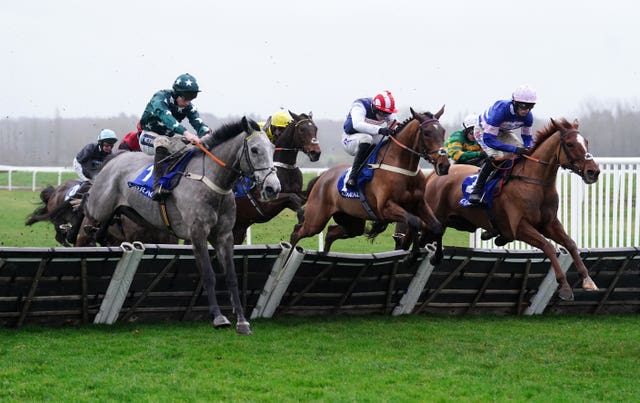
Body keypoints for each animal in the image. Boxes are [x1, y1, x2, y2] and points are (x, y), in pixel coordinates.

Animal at [80, 117, 280, 334]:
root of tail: (114, 159)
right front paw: (218, 317)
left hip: (129, 212)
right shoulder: (197, 233)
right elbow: (208, 275)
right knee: (87, 209)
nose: (273, 188)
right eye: (254, 150)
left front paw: (242, 322)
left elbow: (232, 277)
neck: (214, 182)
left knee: (104, 229)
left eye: (272, 148)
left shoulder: (224, 236)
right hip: (98, 208)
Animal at [232, 111, 322, 243]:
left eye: (315, 128)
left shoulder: (300, 194)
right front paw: (300, 223)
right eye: (301, 129)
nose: (316, 153)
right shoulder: (265, 203)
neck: (284, 166)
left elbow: (304, 193)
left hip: (238, 229)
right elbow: (293, 198)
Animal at [292, 107, 450, 252]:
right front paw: (409, 253)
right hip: (316, 219)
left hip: (352, 222)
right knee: (297, 232)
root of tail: (323, 177)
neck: (402, 167)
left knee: (331, 232)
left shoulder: (419, 204)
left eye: (443, 131)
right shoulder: (385, 208)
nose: (444, 165)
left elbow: (436, 227)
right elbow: (414, 222)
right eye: (427, 133)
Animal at [420, 118, 600, 302]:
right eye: (570, 144)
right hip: (433, 220)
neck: (535, 182)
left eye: (586, 142)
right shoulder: (519, 227)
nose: (593, 171)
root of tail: (434, 176)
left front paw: (588, 280)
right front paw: (564, 287)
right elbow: (548, 246)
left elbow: (570, 244)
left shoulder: (549, 223)